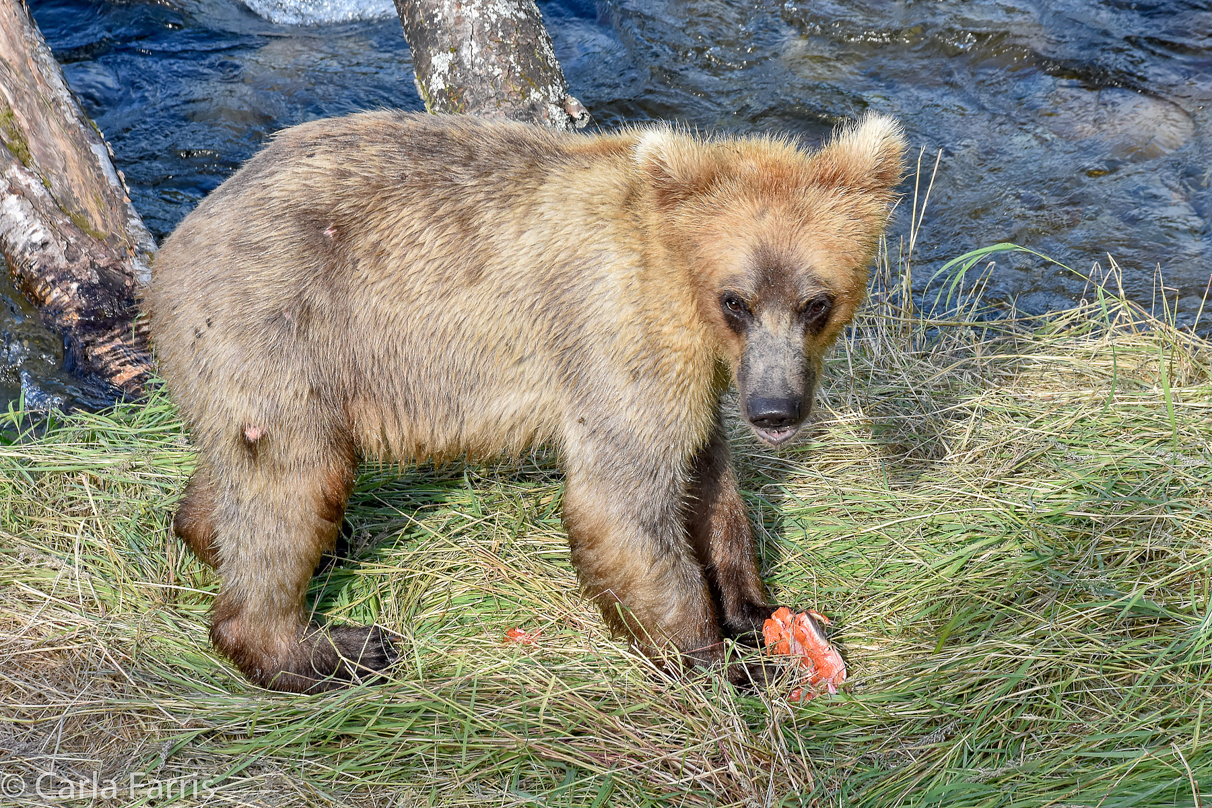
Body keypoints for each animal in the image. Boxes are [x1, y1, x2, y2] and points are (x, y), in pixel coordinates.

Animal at [141, 112, 906, 697]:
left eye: (815, 301)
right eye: (737, 300)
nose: (776, 410)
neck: (680, 289)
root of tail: (177, 241)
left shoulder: (698, 378)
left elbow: (705, 475)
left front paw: (755, 607)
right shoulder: (616, 332)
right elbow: (622, 502)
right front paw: (722, 661)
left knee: (242, 470)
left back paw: (252, 537)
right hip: (282, 327)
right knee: (293, 483)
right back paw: (332, 650)